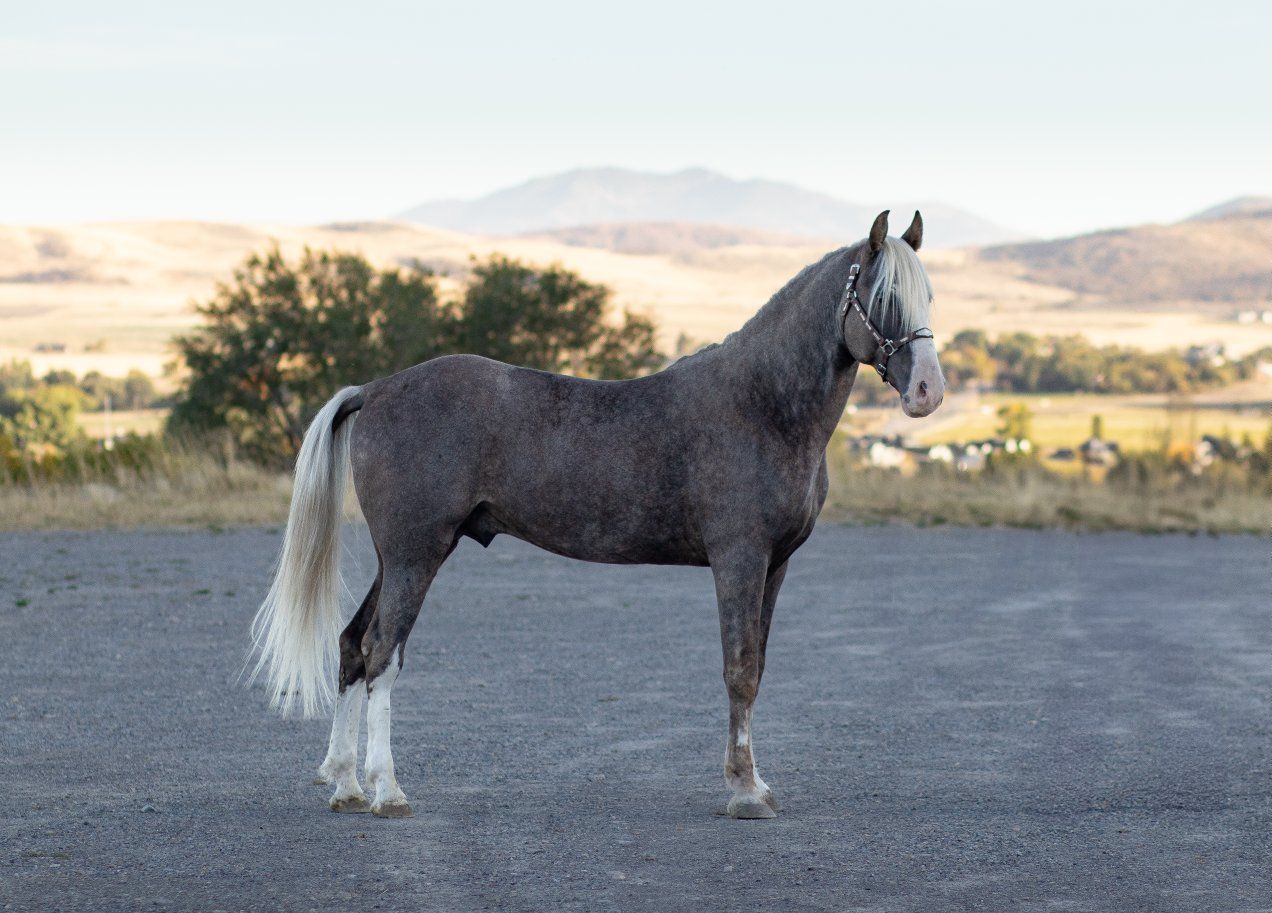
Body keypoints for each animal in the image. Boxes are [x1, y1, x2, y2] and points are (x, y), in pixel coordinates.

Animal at [251, 209, 945, 820]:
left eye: (929, 296)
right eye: (884, 296)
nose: (927, 392)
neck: (764, 406)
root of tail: (374, 390)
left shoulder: (774, 567)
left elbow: (758, 668)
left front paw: (758, 785)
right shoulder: (739, 560)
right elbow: (740, 671)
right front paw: (746, 794)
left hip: (401, 555)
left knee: (351, 645)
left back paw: (345, 786)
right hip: (415, 553)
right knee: (381, 652)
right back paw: (387, 792)